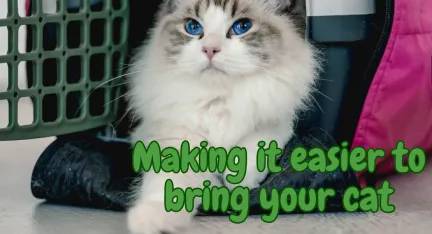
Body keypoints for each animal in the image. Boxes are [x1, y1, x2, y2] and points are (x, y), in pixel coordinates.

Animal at [126, 0, 318, 233]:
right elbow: (167, 184)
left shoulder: (274, 122)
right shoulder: (177, 137)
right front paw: (152, 221)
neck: (219, 99)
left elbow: (250, 151)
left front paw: (239, 183)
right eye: (193, 27)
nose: (210, 49)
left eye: (242, 27)